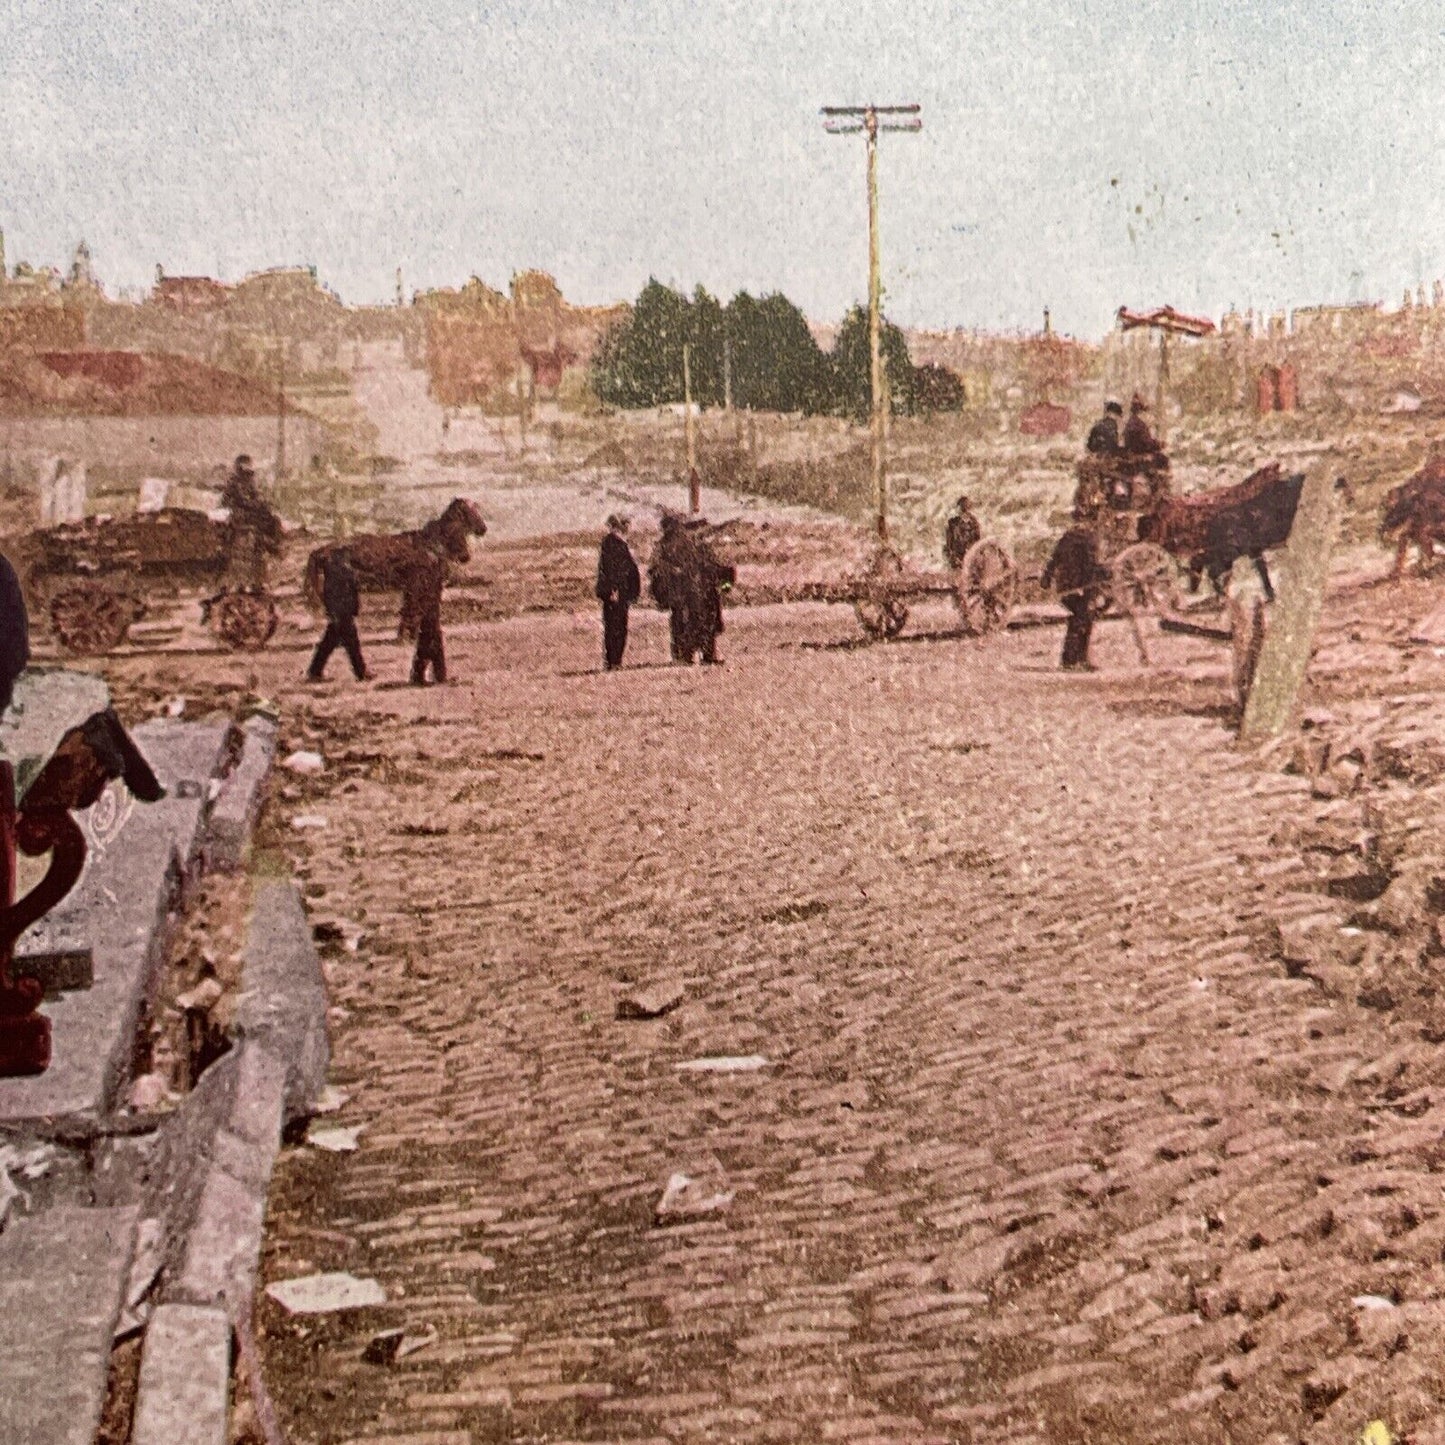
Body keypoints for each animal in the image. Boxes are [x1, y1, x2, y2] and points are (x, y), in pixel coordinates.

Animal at [302, 502, 488, 638]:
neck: (435, 543)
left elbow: (413, 612)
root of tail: (321, 551)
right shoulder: (418, 585)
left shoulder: (419, 587)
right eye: (472, 514)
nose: (484, 528)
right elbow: (413, 611)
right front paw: (408, 636)